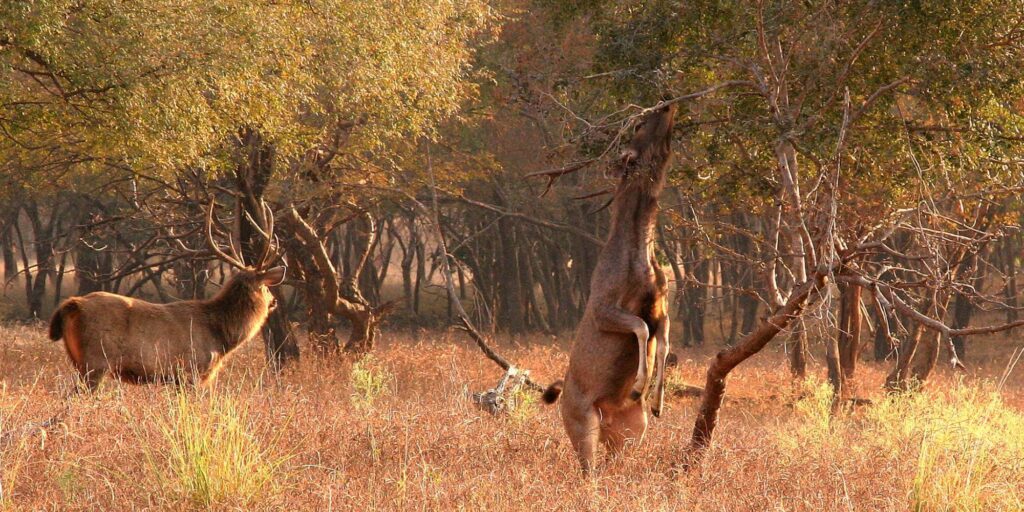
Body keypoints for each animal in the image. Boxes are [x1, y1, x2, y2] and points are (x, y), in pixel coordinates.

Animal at [540, 101, 675, 473]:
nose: (667, 104)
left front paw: (656, 401)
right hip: (581, 421)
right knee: (588, 467)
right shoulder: (603, 306)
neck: (641, 258)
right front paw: (639, 386)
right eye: (640, 126)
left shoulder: (662, 307)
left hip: (631, 432)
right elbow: (641, 328)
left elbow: (664, 340)